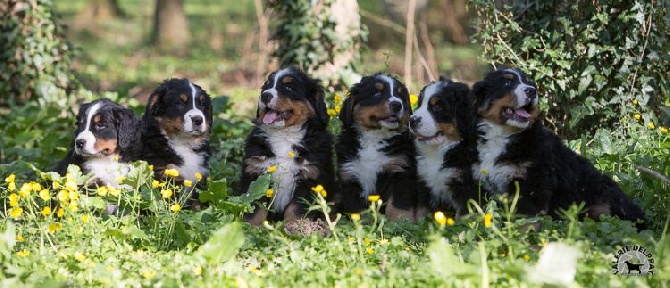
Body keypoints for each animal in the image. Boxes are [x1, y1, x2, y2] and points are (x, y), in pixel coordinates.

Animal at [240, 67, 336, 225]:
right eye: (267, 86)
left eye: (288, 88)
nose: (265, 96)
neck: (284, 135)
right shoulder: (255, 173)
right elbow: (256, 205)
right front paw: (251, 227)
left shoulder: (309, 176)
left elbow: (295, 208)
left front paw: (295, 227)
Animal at [338, 73, 422, 220]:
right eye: (377, 93)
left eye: (400, 96)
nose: (397, 105)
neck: (374, 138)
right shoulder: (350, 175)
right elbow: (358, 210)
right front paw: (360, 223)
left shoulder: (400, 171)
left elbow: (397, 205)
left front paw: (399, 221)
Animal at [406, 79, 480, 216]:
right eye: (420, 104)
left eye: (437, 107)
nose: (412, 120)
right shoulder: (424, 184)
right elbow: (421, 214)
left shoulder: (466, 189)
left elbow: (462, 216)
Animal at [470, 68, 648, 228]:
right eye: (507, 83)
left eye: (529, 82)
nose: (532, 91)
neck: (504, 135)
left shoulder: (532, 183)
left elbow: (527, 219)